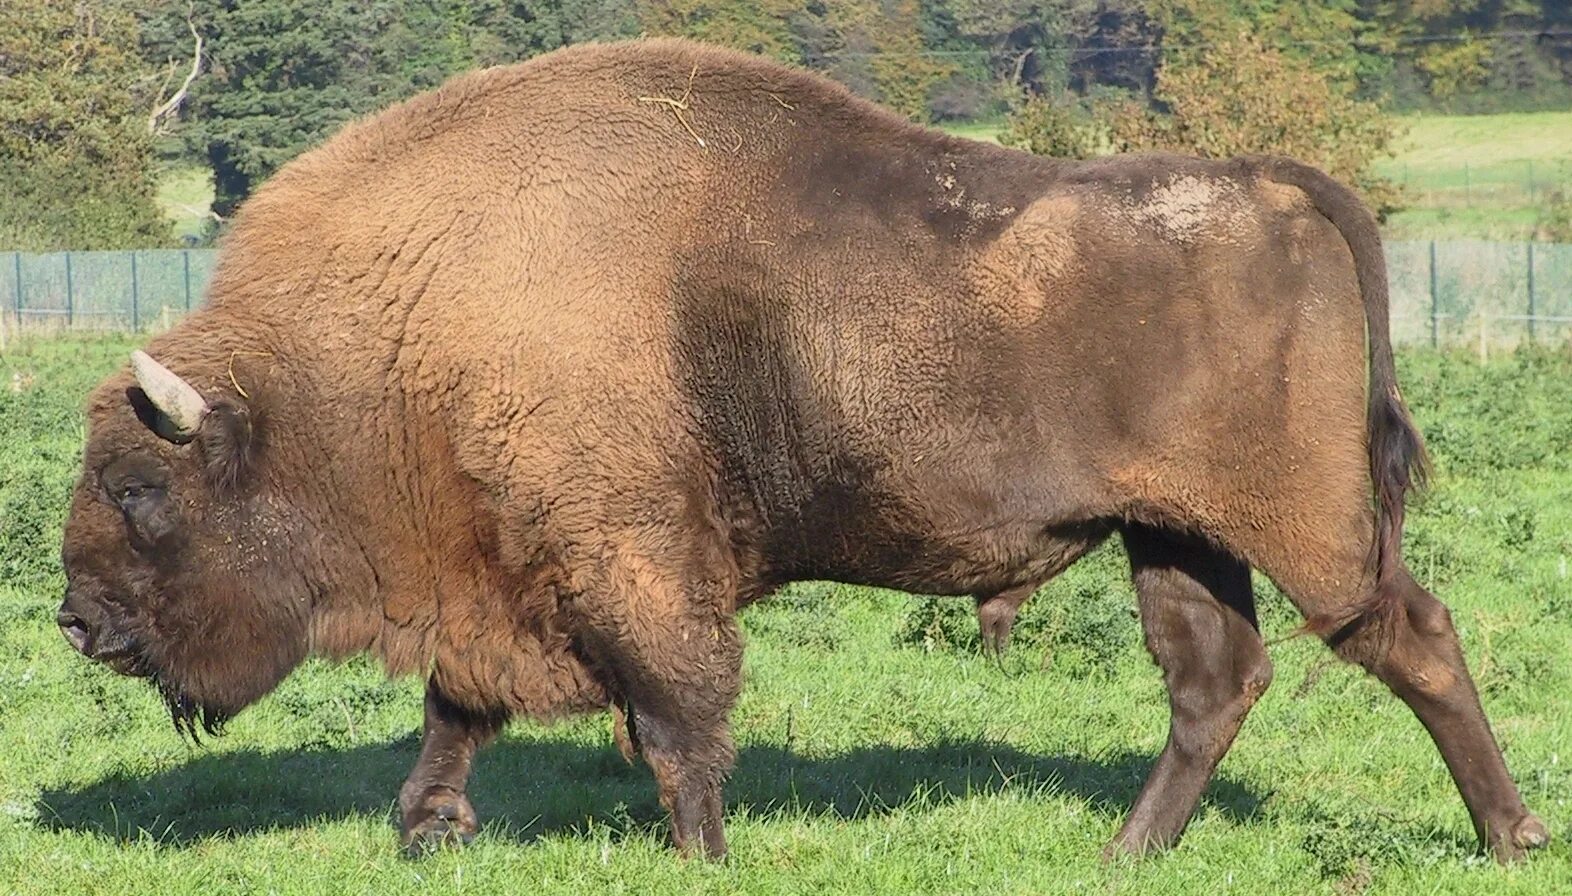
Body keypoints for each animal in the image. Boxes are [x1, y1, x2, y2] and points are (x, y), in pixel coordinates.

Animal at [58, 40, 1546, 855]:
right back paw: (1123, 851)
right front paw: (428, 827)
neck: (409, 315)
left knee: (1407, 633)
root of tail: (1282, 184)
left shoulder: (634, 568)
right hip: (1172, 536)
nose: (78, 623)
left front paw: (702, 853)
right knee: (1215, 682)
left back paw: (1510, 833)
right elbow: (459, 706)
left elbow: (677, 719)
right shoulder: (509, 567)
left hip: (1306, 526)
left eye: (139, 489)